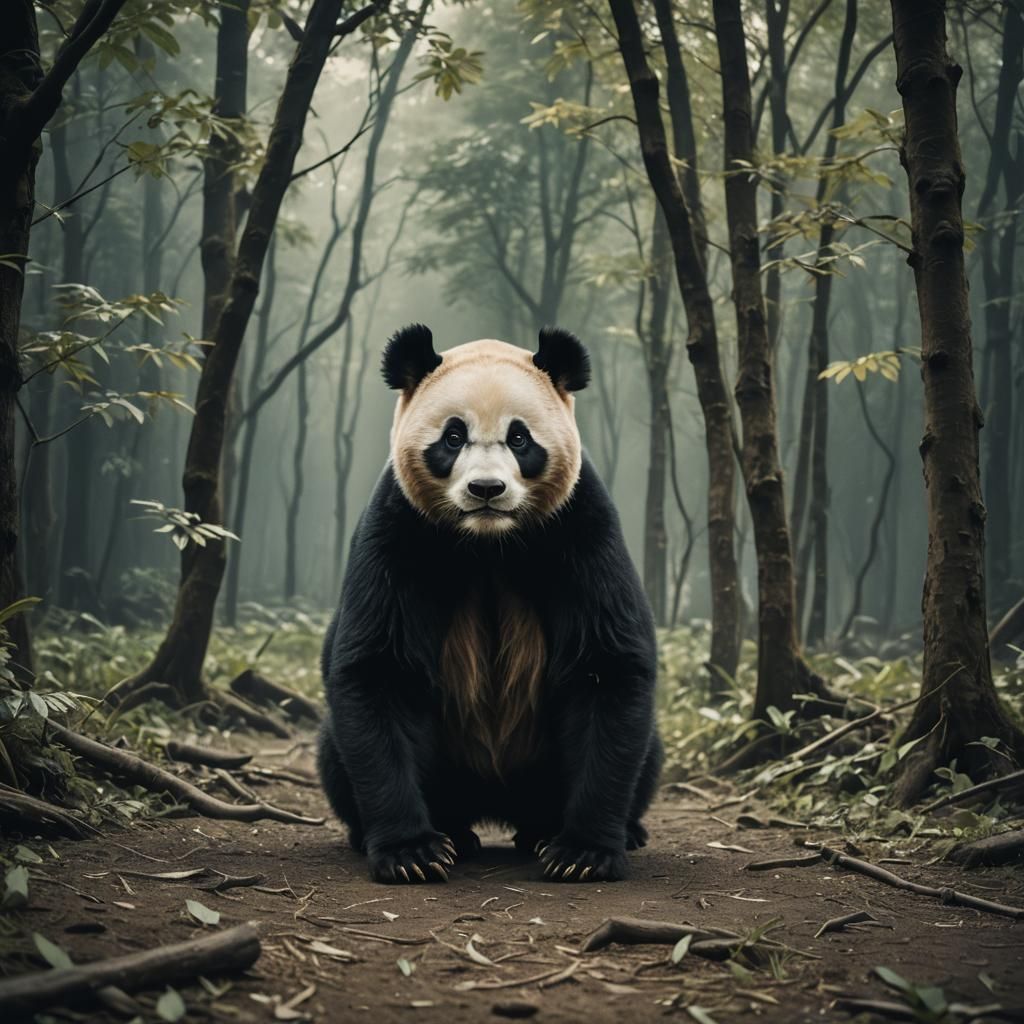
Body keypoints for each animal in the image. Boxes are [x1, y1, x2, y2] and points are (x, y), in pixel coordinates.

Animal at [318, 324, 662, 884]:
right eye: (452, 437)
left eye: (519, 438)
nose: (486, 489)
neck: (488, 542)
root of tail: (496, 804)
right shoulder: (401, 527)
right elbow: (381, 669)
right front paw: (412, 853)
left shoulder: (579, 526)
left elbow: (605, 666)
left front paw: (582, 853)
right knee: (335, 748)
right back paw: (444, 834)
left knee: (646, 749)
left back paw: (564, 831)